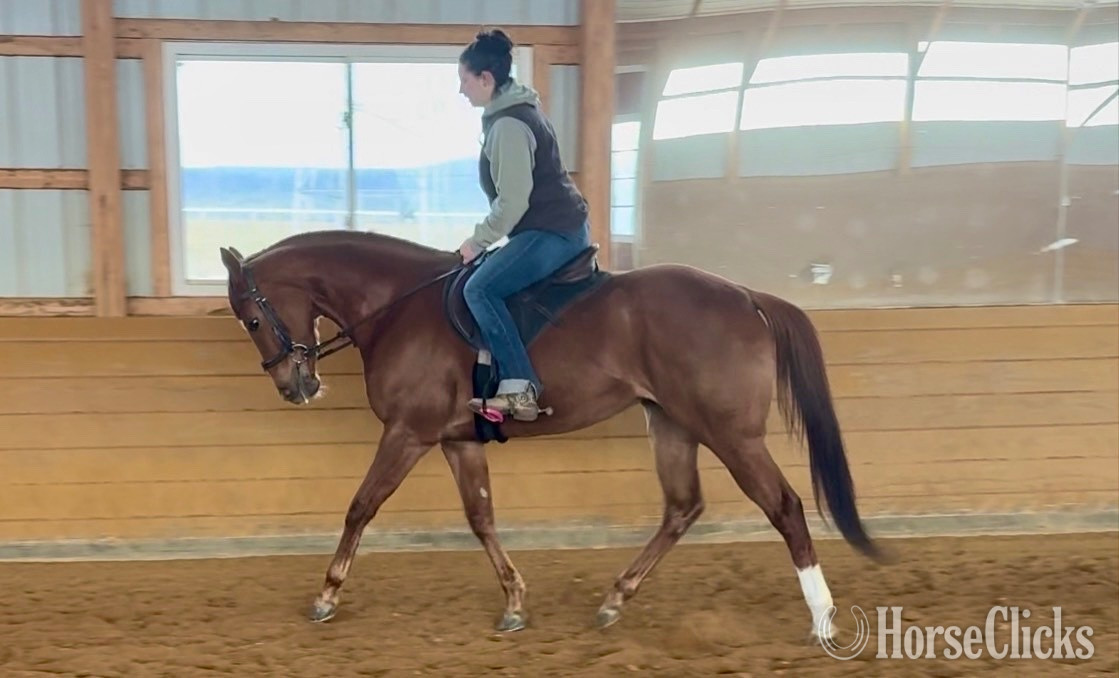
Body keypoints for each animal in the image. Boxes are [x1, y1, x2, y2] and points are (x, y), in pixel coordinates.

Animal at [218, 228, 885, 640]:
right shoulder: (457, 439)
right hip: (671, 423)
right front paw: (514, 602)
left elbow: (360, 506)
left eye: (250, 318)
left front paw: (327, 595)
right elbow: (481, 517)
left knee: (784, 507)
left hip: (731, 434)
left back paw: (821, 617)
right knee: (682, 507)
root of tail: (745, 295)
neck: (398, 308)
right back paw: (615, 598)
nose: (295, 387)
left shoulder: (409, 432)